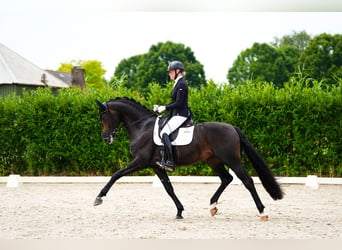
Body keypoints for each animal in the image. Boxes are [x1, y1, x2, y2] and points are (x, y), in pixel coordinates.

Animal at [93, 96, 284, 220]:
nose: (106, 138)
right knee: (226, 178)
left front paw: (99, 198)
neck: (142, 127)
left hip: (232, 160)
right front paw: (179, 211)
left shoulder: (140, 161)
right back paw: (213, 206)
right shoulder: (156, 166)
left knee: (247, 181)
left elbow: (116, 174)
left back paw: (262, 212)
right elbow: (169, 189)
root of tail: (232, 128)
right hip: (213, 161)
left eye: (104, 117)